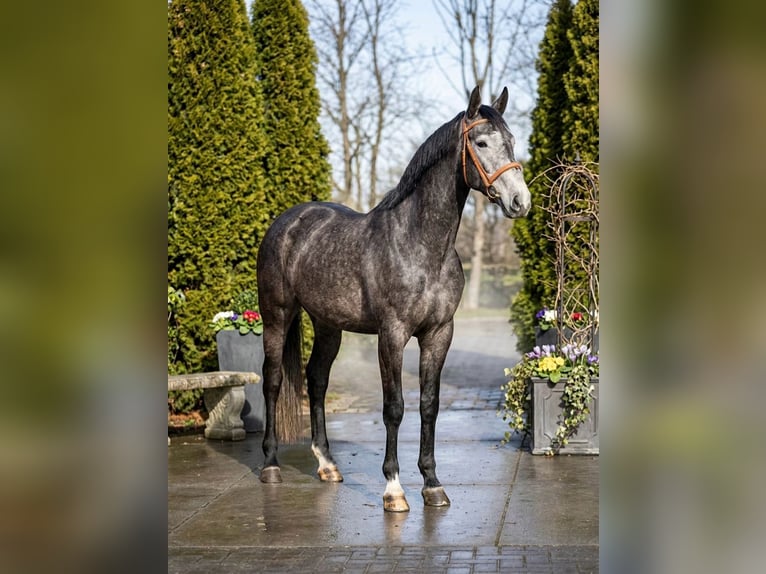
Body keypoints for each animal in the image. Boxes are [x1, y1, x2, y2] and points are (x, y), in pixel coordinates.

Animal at [256, 85, 531, 512]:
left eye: (512, 141)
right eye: (482, 142)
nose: (520, 200)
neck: (421, 244)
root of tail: (287, 223)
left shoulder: (439, 333)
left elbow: (429, 405)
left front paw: (432, 484)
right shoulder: (392, 335)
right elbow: (395, 407)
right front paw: (394, 488)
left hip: (328, 326)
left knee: (316, 380)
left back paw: (327, 464)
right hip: (276, 316)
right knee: (271, 381)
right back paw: (271, 464)